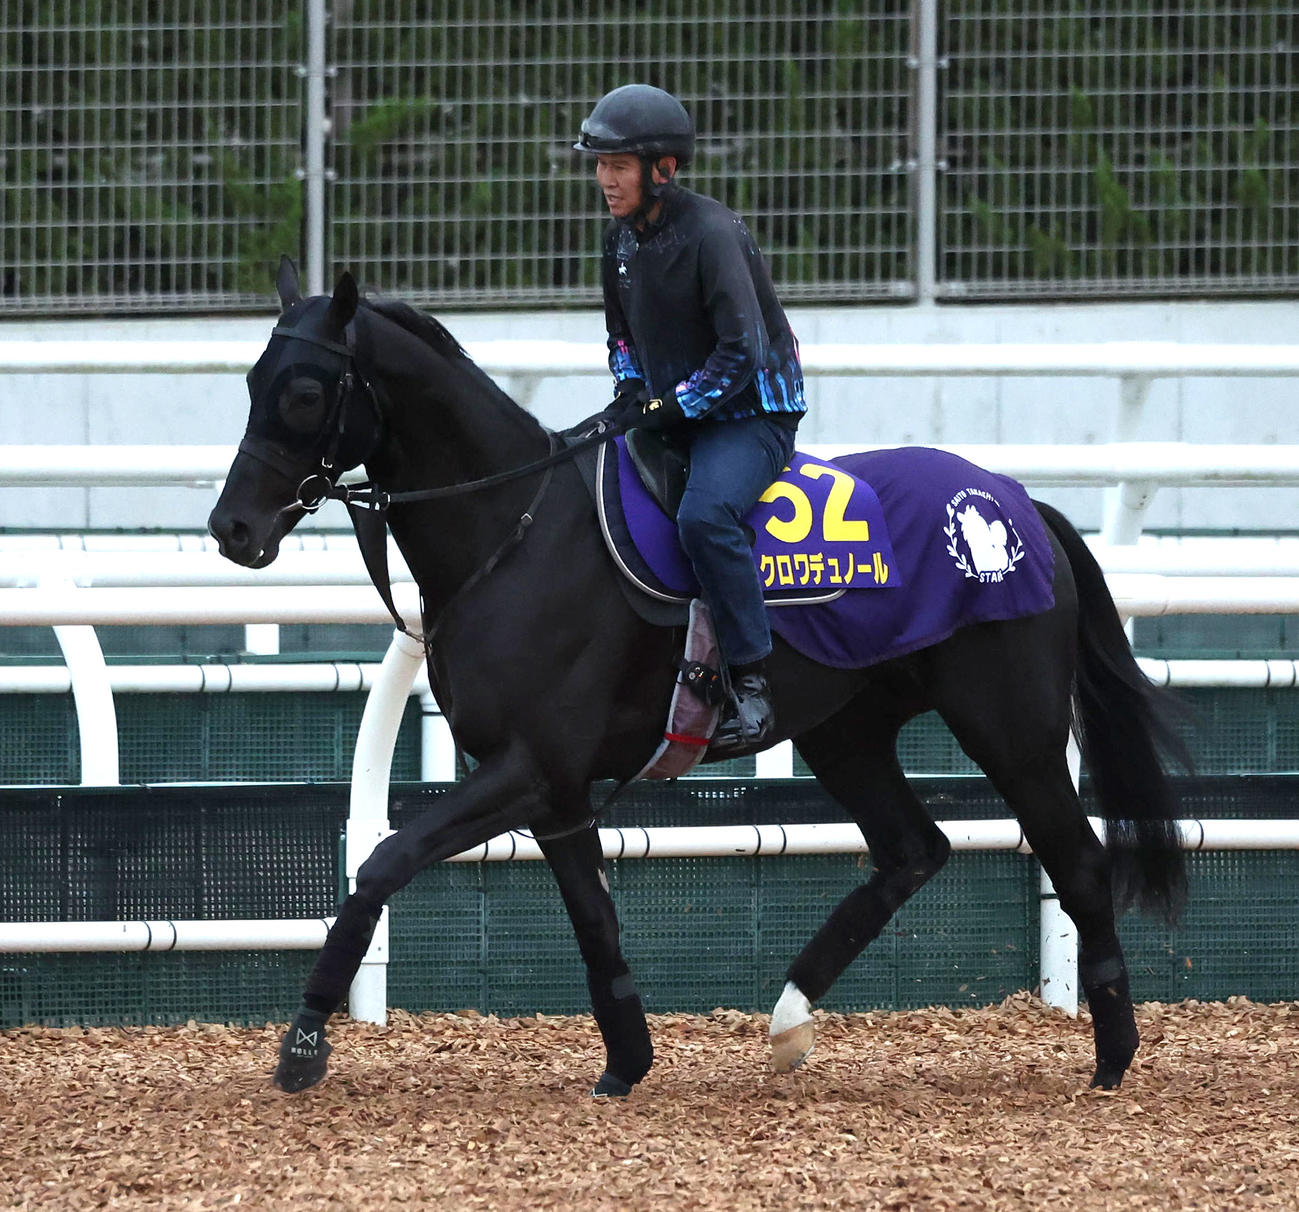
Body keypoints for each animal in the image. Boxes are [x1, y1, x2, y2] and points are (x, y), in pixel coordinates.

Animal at [208, 258, 1186, 1097]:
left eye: (304, 391)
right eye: (251, 382)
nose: (232, 528)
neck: (514, 529)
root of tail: (1020, 505)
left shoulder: (528, 767)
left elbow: (382, 861)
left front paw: (304, 1041)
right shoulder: (555, 790)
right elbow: (592, 918)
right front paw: (625, 1062)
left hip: (1009, 730)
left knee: (1078, 860)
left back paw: (1112, 1054)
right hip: (844, 729)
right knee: (913, 849)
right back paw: (788, 1019)